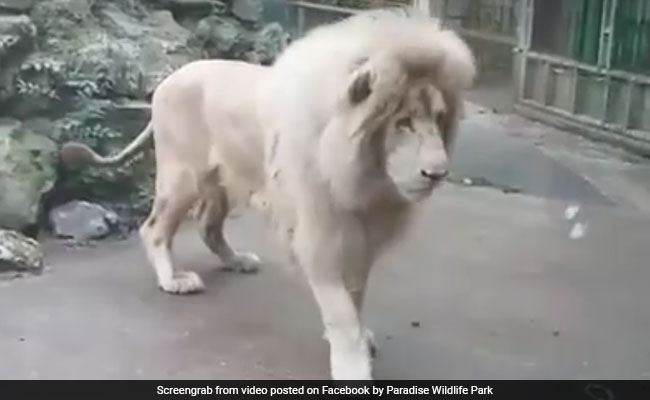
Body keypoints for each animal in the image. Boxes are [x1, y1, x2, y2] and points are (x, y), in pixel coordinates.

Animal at [60, 7, 474, 380]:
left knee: (209, 227)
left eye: (439, 119)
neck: (365, 175)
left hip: (225, 179)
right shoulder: (320, 236)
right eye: (402, 123)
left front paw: (360, 336)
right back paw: (173, 280)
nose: (438, 173)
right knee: (154, 228)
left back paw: (236, 260)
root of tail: (170, 78)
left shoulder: (360, 234)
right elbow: (341, 311)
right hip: (184, 176)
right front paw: (353, 366)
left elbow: (355, 297)